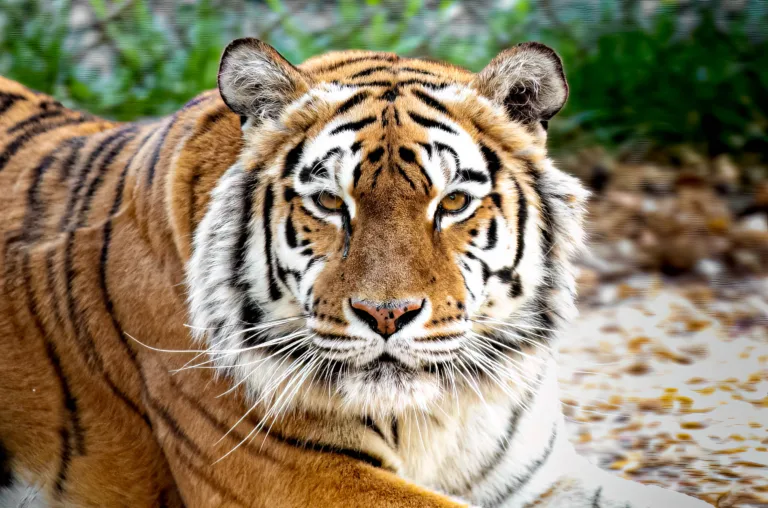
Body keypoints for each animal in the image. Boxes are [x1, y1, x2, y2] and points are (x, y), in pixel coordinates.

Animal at [0, 38, 711, 507]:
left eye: (453, 201)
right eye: (329, 203)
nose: (387, 315)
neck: (441, 415)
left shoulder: (540, 474)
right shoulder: (295, 474)